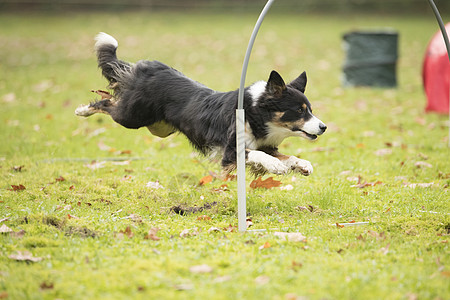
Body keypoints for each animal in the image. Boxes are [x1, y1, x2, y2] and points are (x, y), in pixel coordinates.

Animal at [75, 32, 326, 176]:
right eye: (299, 111)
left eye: (311, 110)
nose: (324, 127)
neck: (256, 113)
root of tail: (148, 67)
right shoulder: (230, 152)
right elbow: (257, 155)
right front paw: (276, 166)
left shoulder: (265, 145)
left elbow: (285, 156)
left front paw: (302, 164)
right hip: (132, 117)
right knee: (107, 102)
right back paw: (83, 110)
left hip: (159, 128)